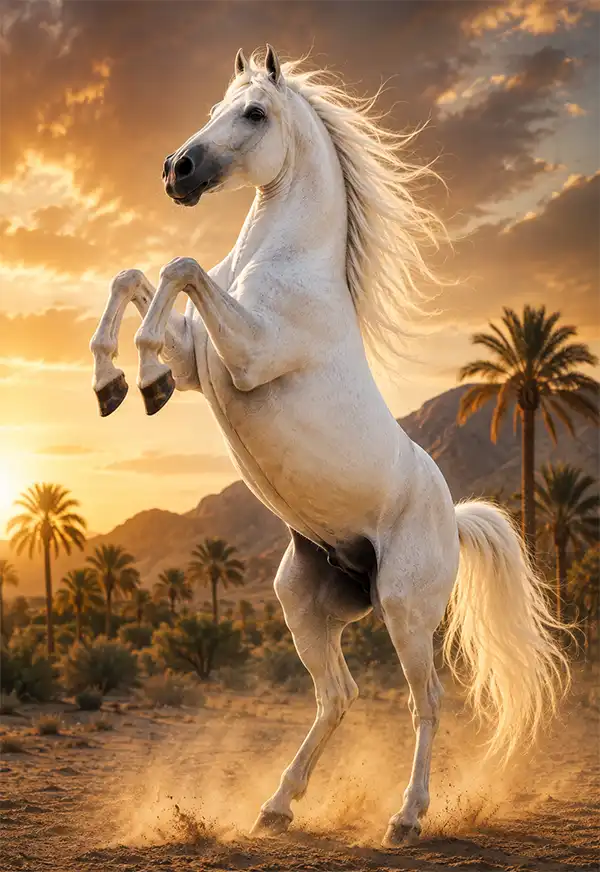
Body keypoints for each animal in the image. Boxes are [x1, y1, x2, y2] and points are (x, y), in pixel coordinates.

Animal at [90, 47, 568, 846]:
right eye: (217, 105)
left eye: (254, 113)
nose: (175, 170)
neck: (281, 263)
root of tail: (452, 515)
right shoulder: (204, 366)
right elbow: (136, 277)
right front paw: (116, 382)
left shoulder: (247, 356)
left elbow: (178, 268)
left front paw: (140, 374)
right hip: (303, 602)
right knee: (338, 695)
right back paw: (277, 806)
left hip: (406, 610)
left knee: (426, 701)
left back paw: (405, 819)